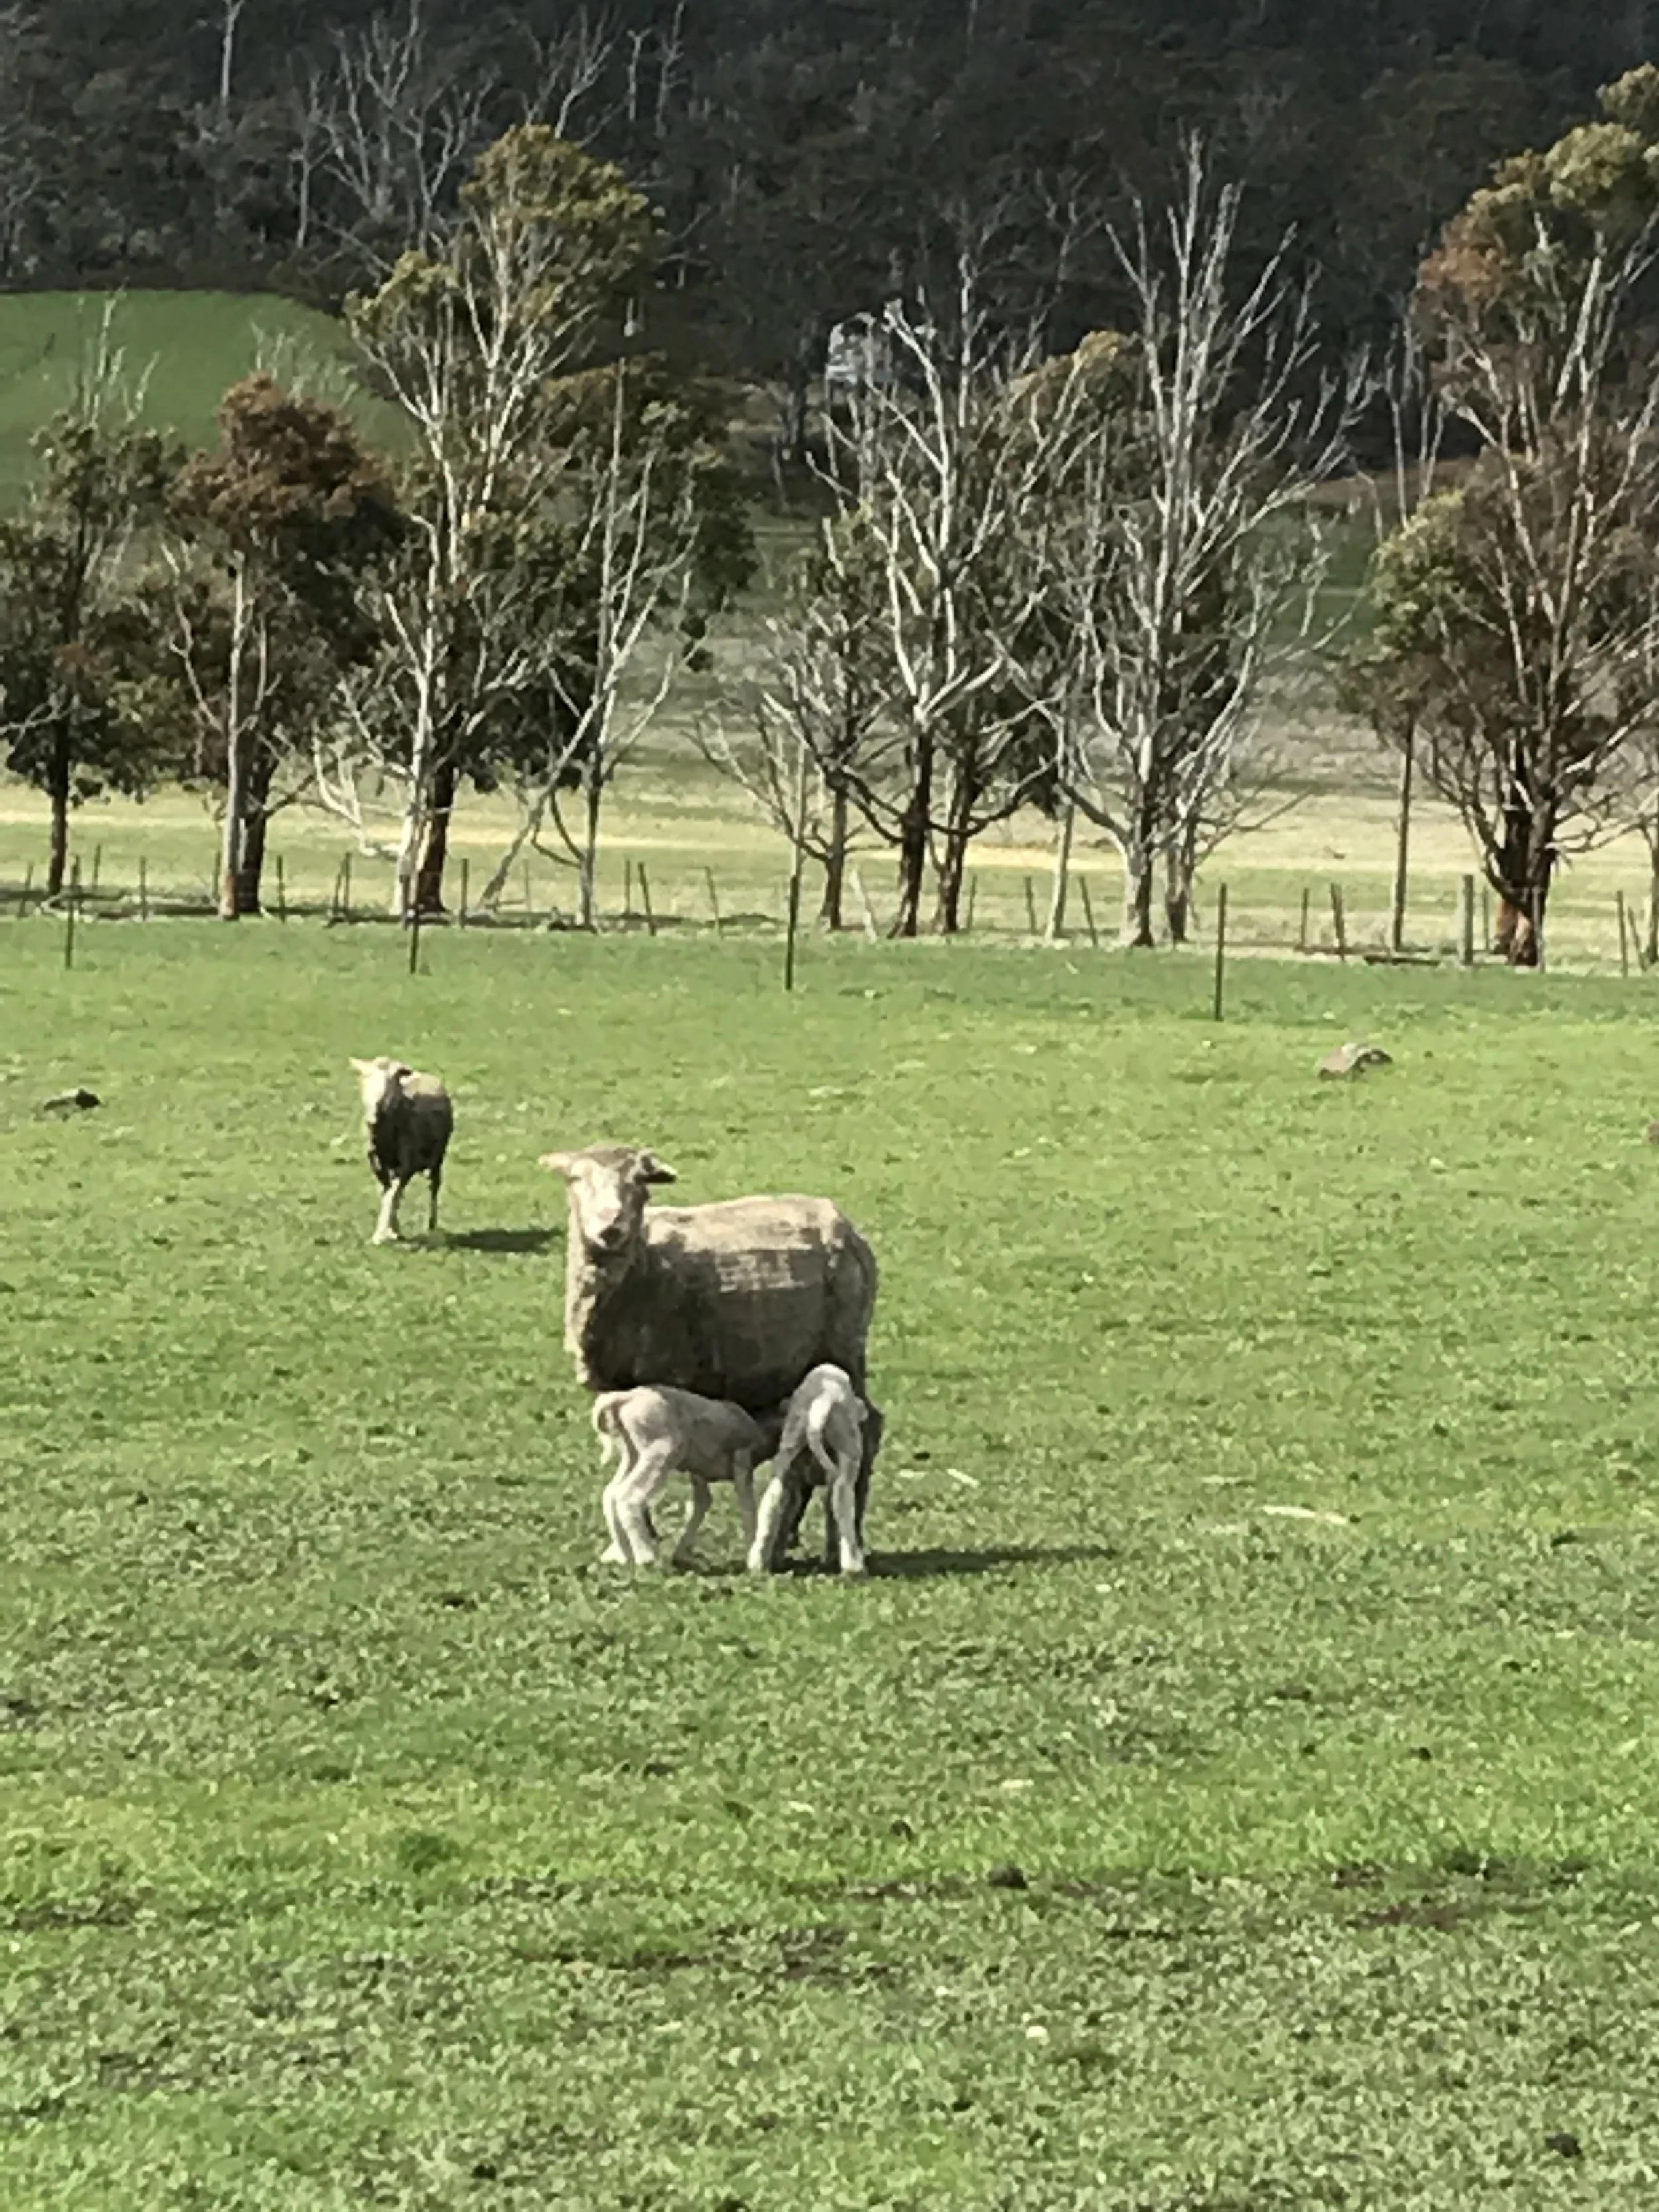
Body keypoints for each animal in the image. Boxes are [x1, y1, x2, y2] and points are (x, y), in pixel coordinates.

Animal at [350, 1056, 453, 1245]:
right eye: (364, 1079)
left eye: (390, 1084)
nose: (373, 1115)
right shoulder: (377, 1163)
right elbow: (388, 1193)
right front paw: (391, 1230)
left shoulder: (407, 1164)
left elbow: (391, 1196)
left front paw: (381, 1234)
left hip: (438, 1157)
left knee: (434, 1187)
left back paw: (432, 1224)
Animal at [592, 1386, 781, 1567]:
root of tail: (626, 1398)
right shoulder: (742, 1460)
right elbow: (748, 1506)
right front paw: (753, 1552)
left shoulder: (700, 1472)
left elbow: (703, 1503)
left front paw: (681, 1554)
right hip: (660, 1450)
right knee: (628, 1496)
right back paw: (646, 1557)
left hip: (632, 1452)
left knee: (610, 1494)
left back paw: (625, 1554)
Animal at [749, 1363, 867, 1579]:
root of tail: (822, 1403)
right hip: (849, 1447)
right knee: (842, 1496)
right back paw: (854, 1567)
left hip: (789, 1445)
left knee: (774, 1496)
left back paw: (757, 1562)